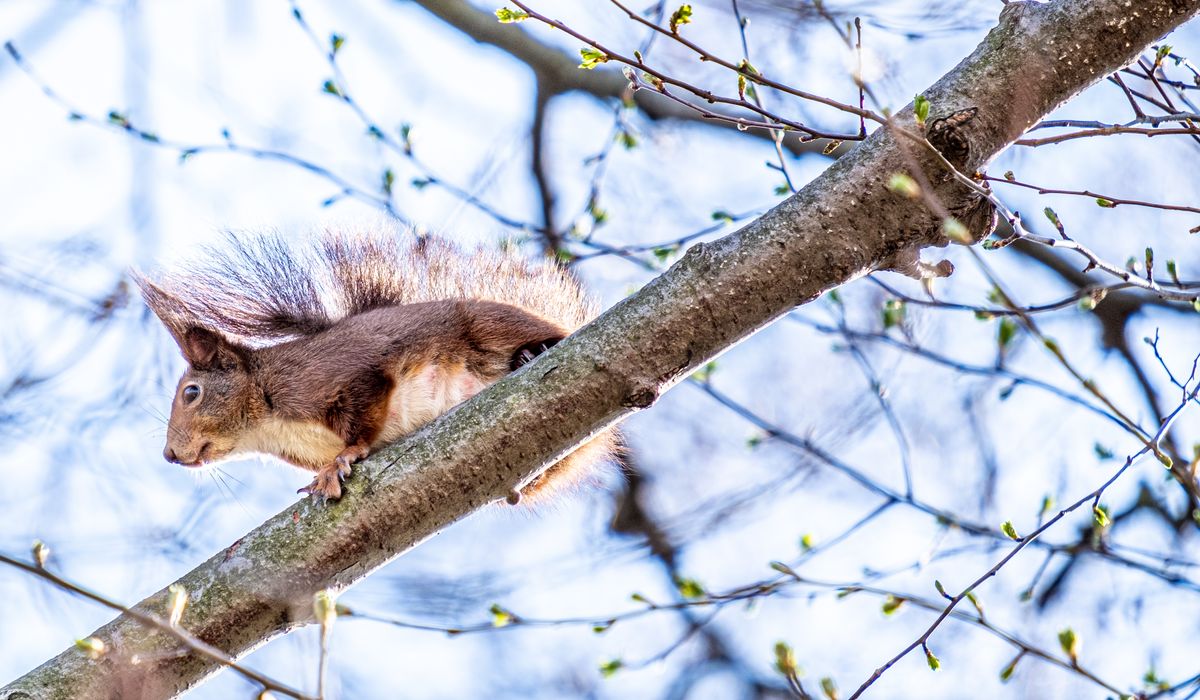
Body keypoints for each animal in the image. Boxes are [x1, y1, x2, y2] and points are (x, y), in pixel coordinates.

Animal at [136, 230, 617, 501]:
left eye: (191, 393)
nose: (169, 455)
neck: (267, 423)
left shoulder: (341, 376)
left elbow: (363, 418)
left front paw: (342, 461)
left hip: (489, 326)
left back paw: (533, 353)